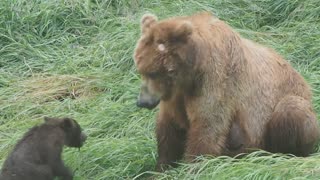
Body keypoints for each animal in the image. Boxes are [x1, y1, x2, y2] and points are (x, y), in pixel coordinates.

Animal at [132, 11, 320, 172]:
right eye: (141, 69)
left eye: (154, 73)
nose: (142, 102)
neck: (190, 73)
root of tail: (305, 83)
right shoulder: (176, 96)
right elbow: (170, 128)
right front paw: (160, 168)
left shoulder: (216, 78)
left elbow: (207, 126)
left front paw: (192, 167)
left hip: (282, 111)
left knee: (291, 111)